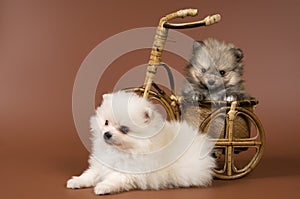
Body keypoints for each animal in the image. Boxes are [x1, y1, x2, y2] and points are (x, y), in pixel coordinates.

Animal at [67, 91, 214, 194]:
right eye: (106, 122)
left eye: (124, 129)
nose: (107, 134)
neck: (120, 150)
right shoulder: (101, 164)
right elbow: (90, 174)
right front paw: (76, 181)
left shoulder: (130, 172)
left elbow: (114, 178)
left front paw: (103, 187)